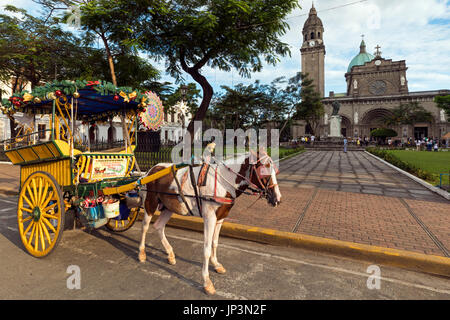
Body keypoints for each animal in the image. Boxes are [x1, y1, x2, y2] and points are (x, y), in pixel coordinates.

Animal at [137, 149, 282, 296]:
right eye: (264, 170)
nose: (277, 198)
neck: (224, 182)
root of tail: (150, 171)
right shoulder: (210, 218)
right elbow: (206, 249)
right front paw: (207, 281)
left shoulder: (220, 218)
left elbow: (215, 242)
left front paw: (216, 264)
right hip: (150, 203)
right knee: (145, 227)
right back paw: (142, 253)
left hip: (168, 207)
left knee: (159, 226)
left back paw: (170, 254)